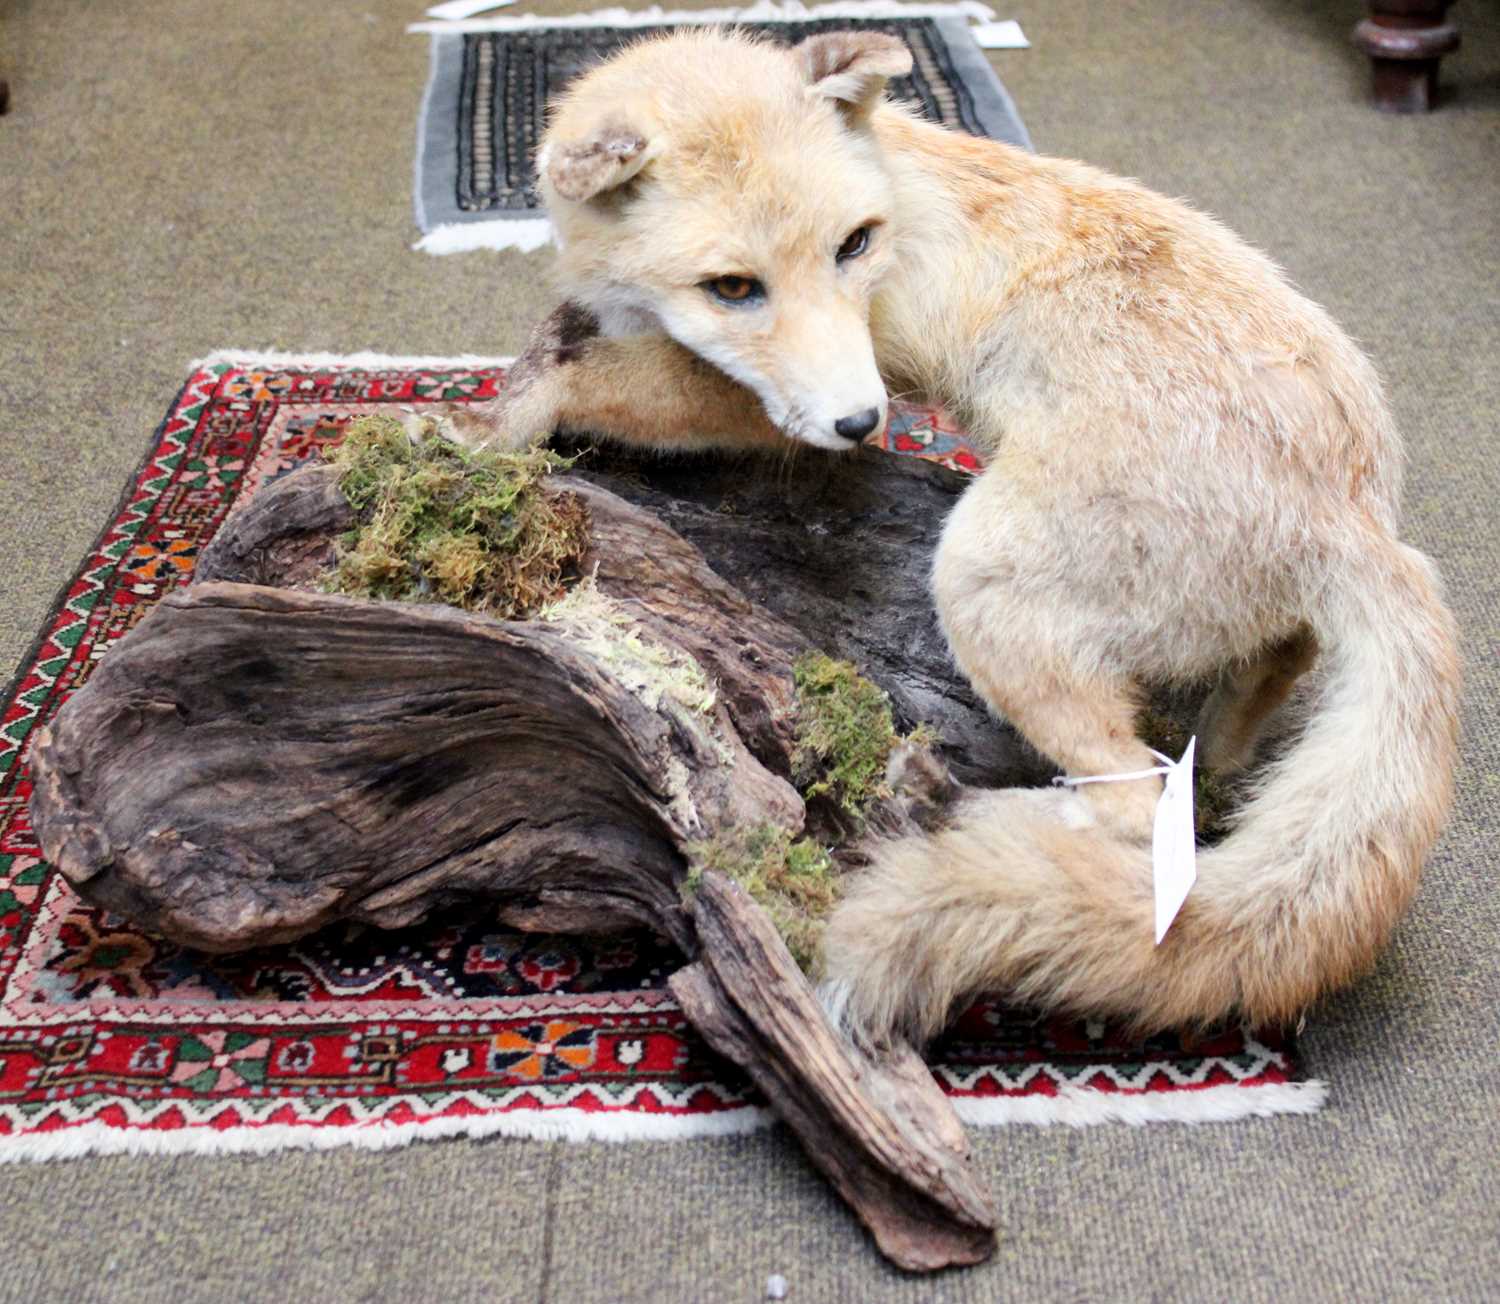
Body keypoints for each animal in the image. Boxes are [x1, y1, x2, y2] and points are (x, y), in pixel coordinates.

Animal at [453, 27, 1452, 1050]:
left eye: (855, 246)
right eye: (732, 287)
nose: (862, 424)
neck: (895, 187)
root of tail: (1355, 513)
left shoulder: (790, 393)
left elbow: (583, 378)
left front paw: (487, 428)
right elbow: (572, 341)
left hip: (979, 584)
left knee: (1138, 809)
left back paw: (962, 815)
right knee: (1266, 672)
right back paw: (1215, 748)